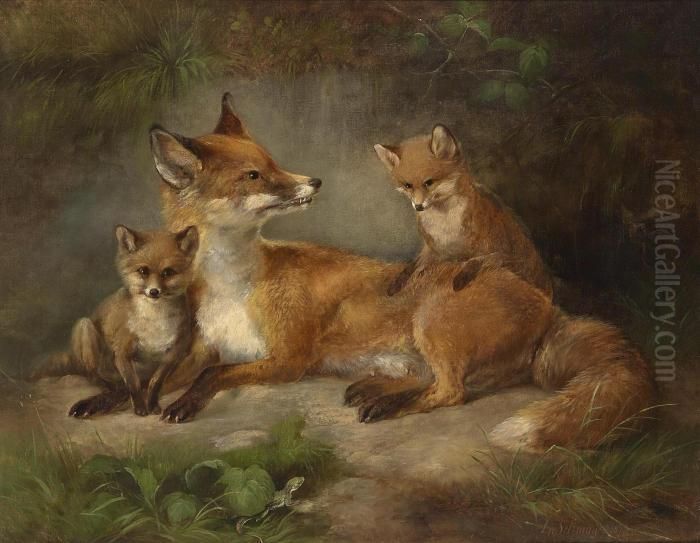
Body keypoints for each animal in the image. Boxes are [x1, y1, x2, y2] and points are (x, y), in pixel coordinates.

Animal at [32, 225, 199, 417]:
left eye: (168, 272)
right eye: (143, 271)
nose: (154, 292)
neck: (155, 323)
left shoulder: (173, 355)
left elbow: (155, 382)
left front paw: (152, 405)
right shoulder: (121, 354)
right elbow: (133, 384)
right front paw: (140, 408)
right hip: (85, 329)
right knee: (94, 376)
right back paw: (109, 389)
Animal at [374, 124, 552, 297]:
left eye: (429, 182)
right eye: (407, 185)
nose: (418, 206)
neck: (446, 227)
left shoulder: (504, 254)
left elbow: (477, 260)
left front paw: (460, 279)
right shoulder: (433, 250)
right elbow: (412, 266)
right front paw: (397, 284)